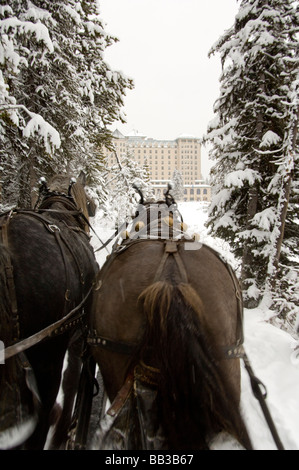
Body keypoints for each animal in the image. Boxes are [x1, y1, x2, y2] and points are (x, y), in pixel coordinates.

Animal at [0, 173, 99, 448]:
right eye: (89, 200)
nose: (93, 208)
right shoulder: (78, 336)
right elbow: (73, 380)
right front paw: (66, 430)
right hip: (48, 352)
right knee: (42, 418)